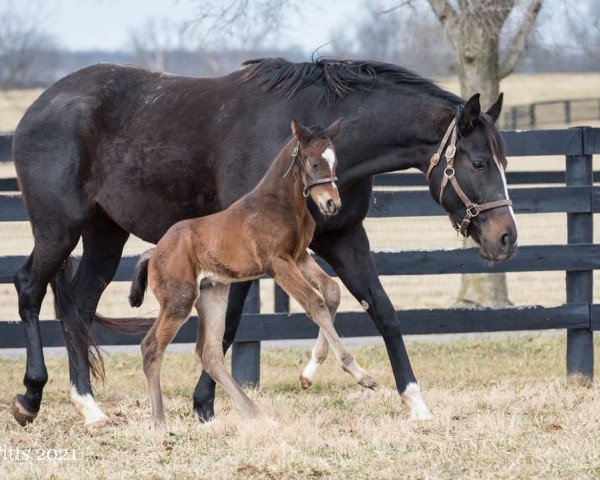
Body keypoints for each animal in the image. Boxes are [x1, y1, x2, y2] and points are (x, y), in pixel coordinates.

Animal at [130, 120, 376, 428]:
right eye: (314, 163)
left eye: (335, 162)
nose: (332, 204)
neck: (281, 204)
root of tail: (154, 253)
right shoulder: (277, 263)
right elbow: (314, 303)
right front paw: (360, 374)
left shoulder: (299, 256)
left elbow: (331, 291)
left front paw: (308, 374)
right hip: (179, 300)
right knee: (151, 347)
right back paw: (160, 423)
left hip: (212, 295)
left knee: (209, 354)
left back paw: (260, 416)